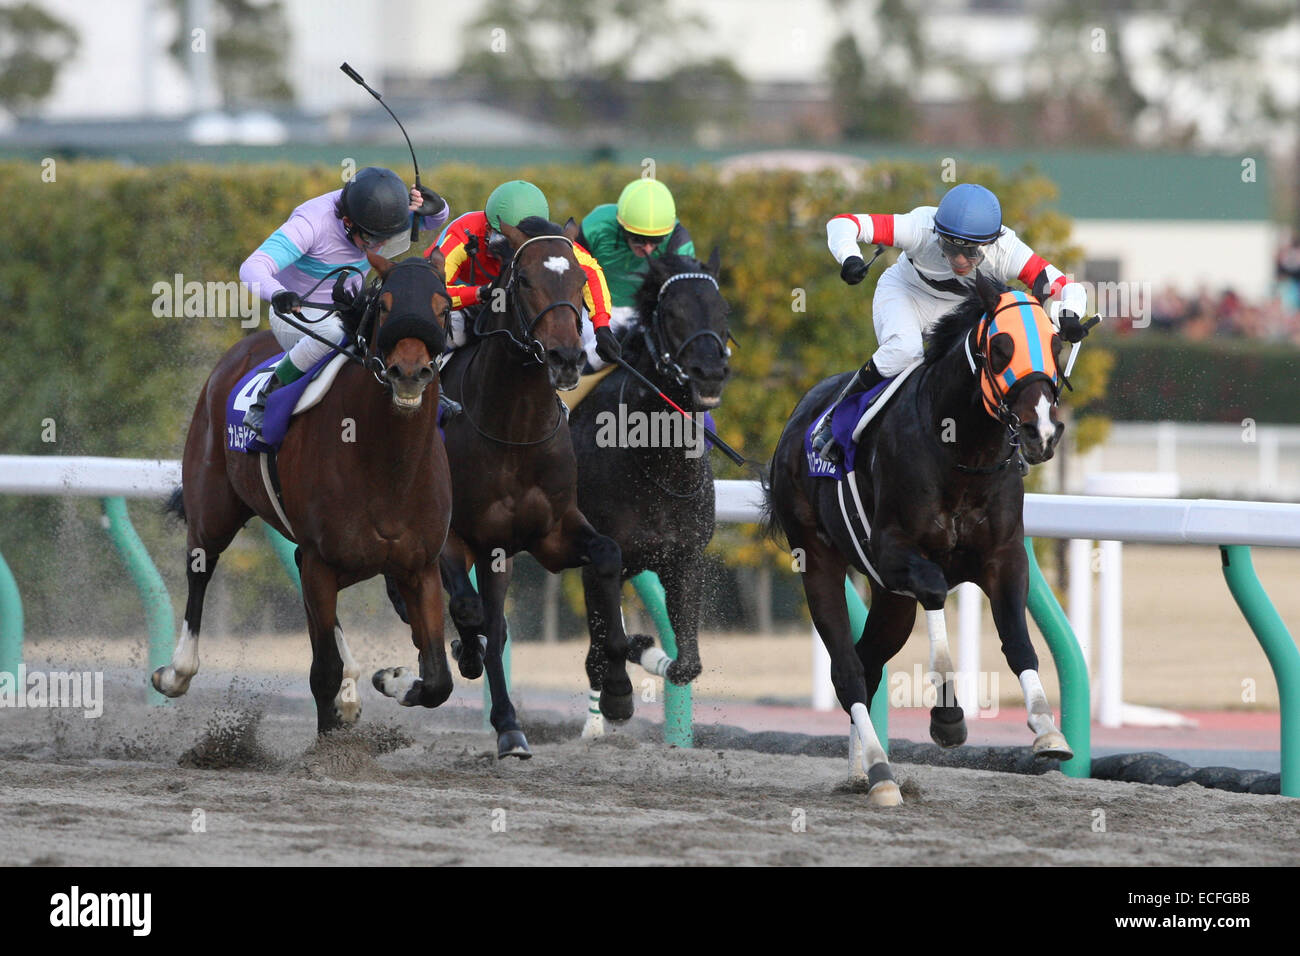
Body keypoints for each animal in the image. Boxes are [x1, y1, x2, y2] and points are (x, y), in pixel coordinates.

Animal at [156, 252, 454, 733]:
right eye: (384, 305)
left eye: (443, 308)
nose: (409, 373)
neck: (390, 467)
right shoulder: (321, 560)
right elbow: (323, 672)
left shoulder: (419, 566)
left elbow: (438, 678)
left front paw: (392, 678)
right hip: (213, 507)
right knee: (200, 567)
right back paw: (176, 672)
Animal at [374, 214, 637, 754]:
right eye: (525, 281)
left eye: (579, 281)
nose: (565, 358)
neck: (513, 432)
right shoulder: (455, 537)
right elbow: (470, 612)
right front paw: (463, 664)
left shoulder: (550, 532)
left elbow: (606, 556)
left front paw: (619, 688)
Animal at [569, 251, 733, 738]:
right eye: (672, 313)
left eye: (723, 312)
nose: (710, 373)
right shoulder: (598, 561)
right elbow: (608, 642)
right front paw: (618, 696)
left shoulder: (683, 557)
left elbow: (687, 663)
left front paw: (650, 653)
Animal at [759, 269, 1066, 806]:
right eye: (1001, 346)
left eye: (1054, 342)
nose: (1042, 432)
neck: (962, 453)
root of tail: (797, 417)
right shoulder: (896, 551)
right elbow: (937, 591)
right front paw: (947, 717)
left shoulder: (1005, 556)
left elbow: (1017, 636)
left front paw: (1047, 729)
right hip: (818, 559)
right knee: (848, 671)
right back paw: (880, 774)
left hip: (890, 600)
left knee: (867, 664)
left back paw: (861, 770)